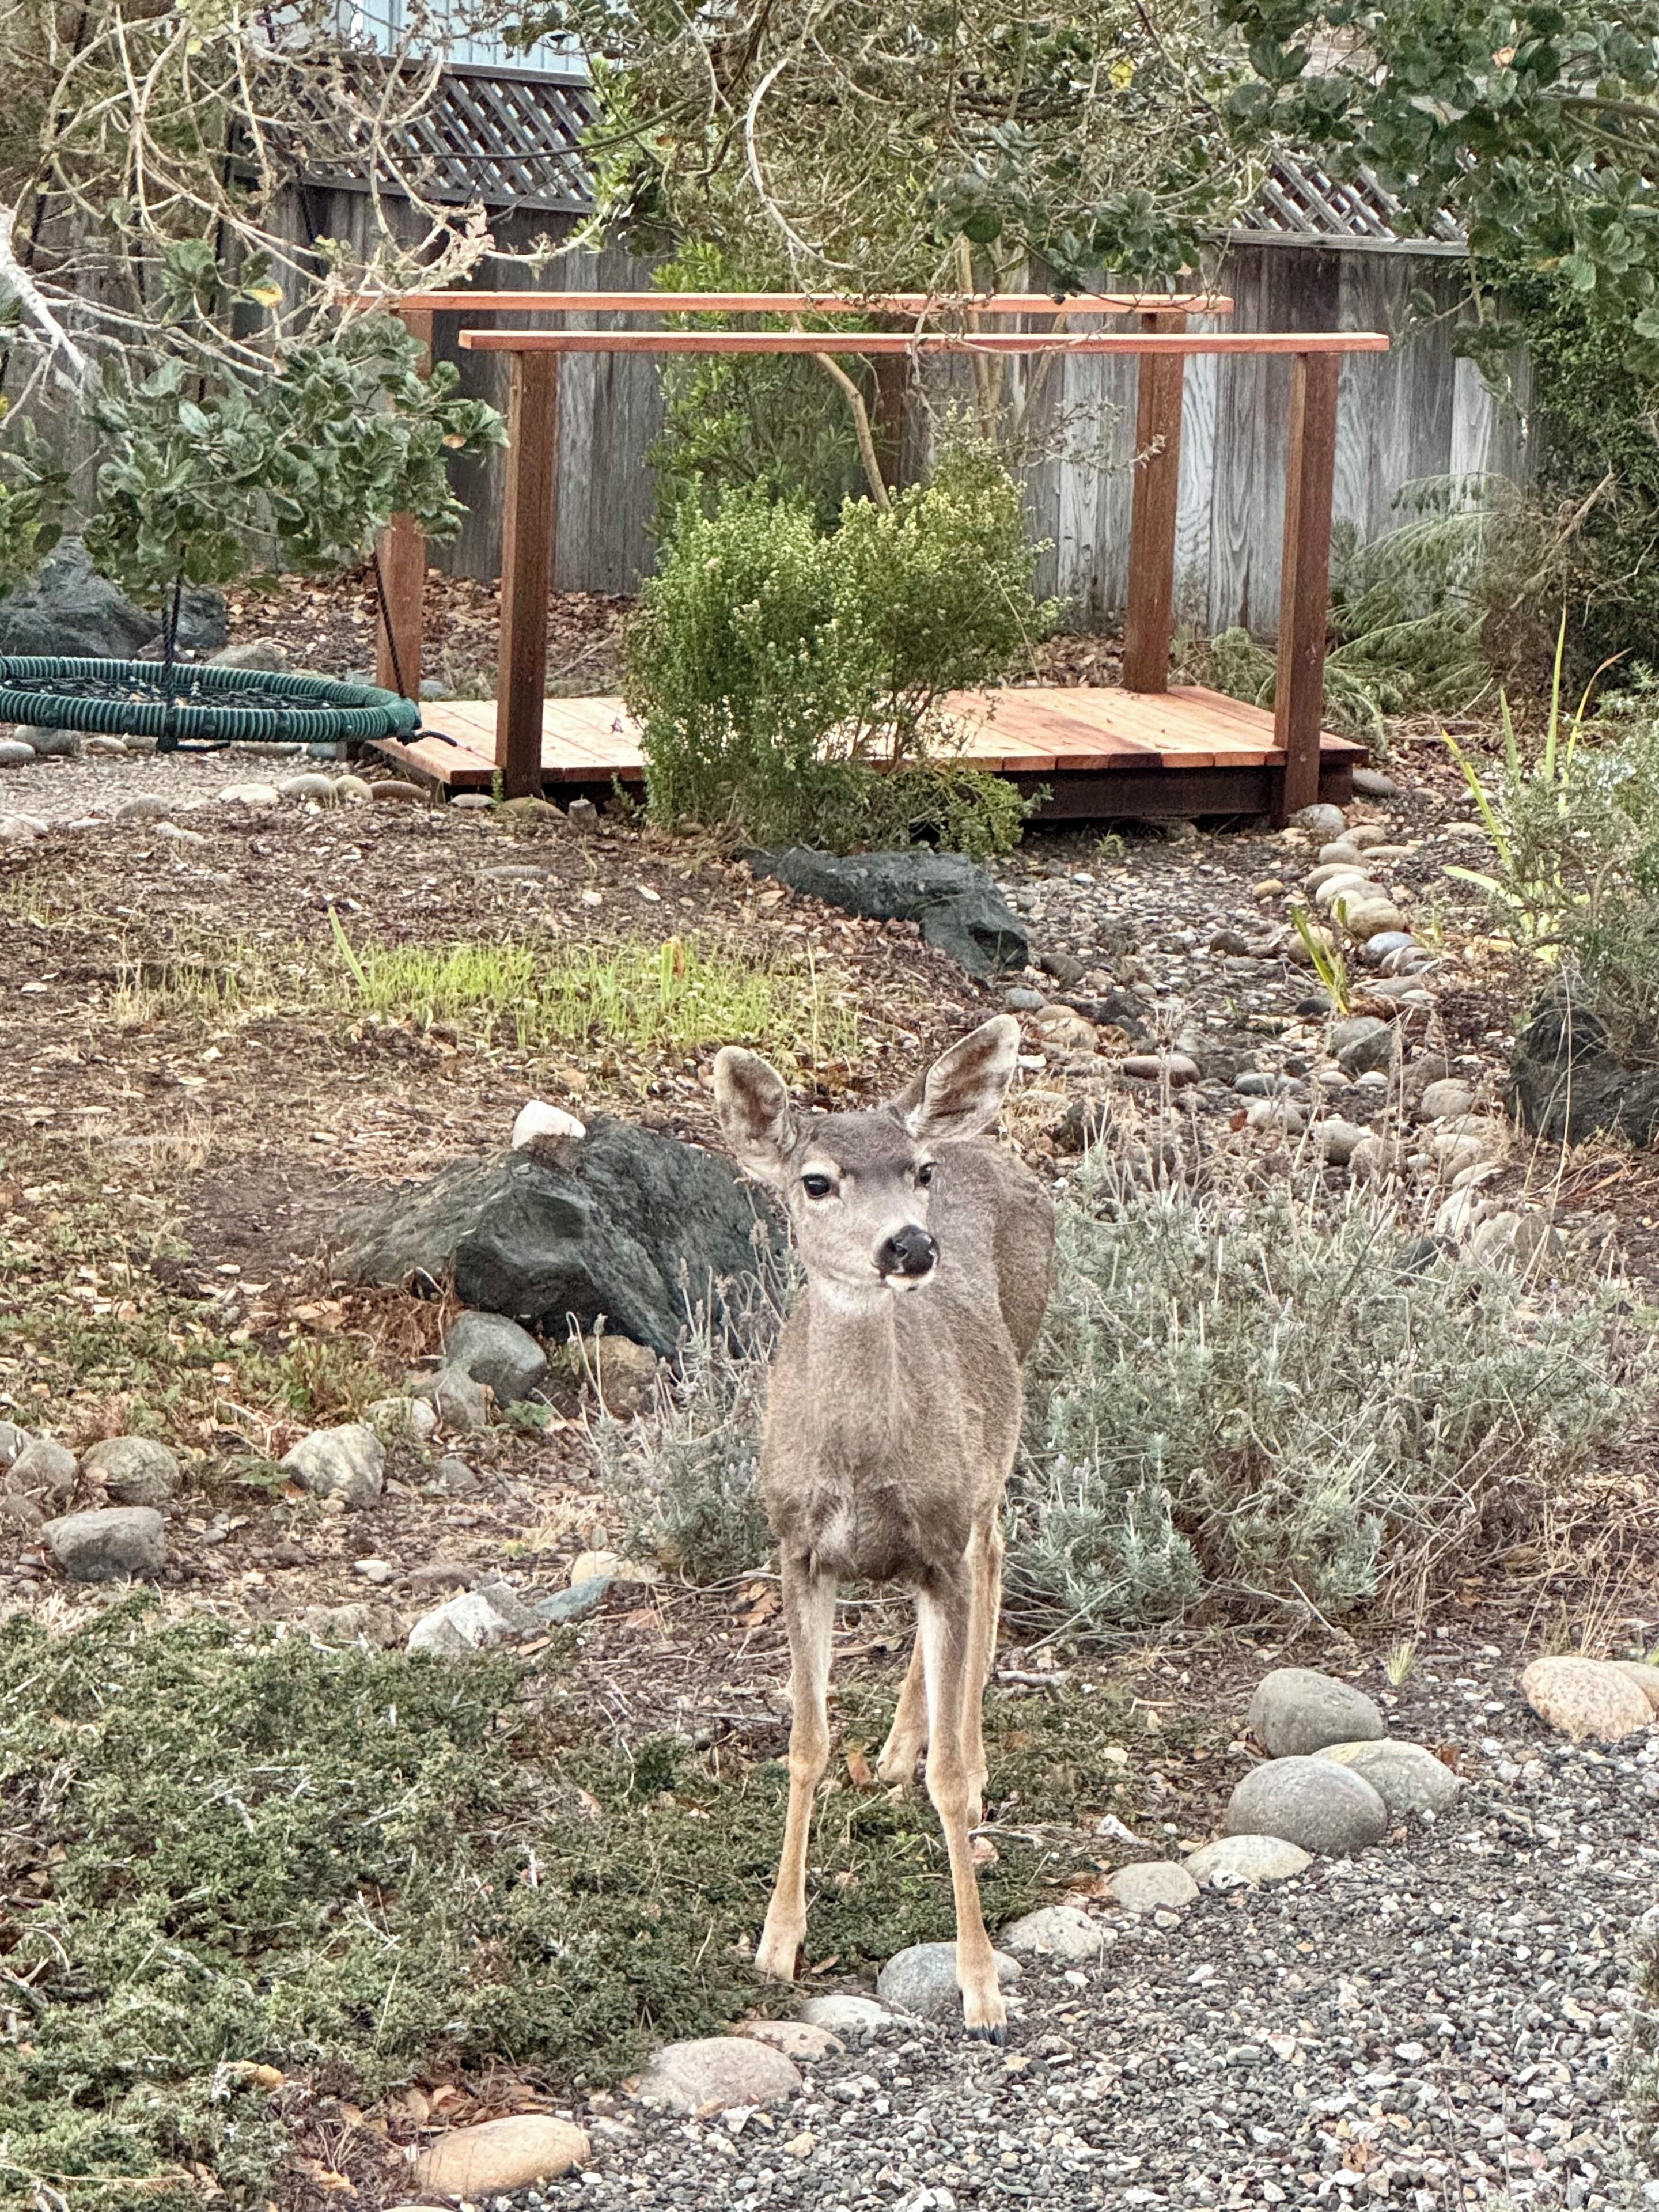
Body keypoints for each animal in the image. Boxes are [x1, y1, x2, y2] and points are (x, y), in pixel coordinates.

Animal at [713, 1013, 1055, 2041]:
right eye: (817, 1181)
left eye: (918, 1171)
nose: (909, 1246)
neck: (862, 1466)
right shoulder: (795, 1546)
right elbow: (806, 1744)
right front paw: (776, 1941)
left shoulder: (940, 1530)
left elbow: (945, 1781)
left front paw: (982, 1986)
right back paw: (899, 1749)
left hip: (1001, 1426)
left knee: (993, 1554)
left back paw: (960, 1752)